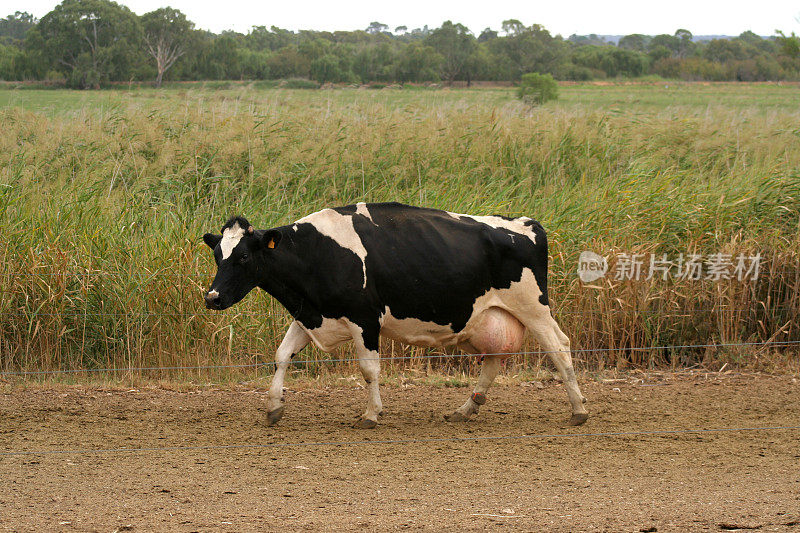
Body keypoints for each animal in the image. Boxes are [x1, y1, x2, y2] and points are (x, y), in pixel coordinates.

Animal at [200, 203, 588, 428]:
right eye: (218, 255)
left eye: (243, 257)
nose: (212, 297)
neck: (317, 253)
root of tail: (525, 223)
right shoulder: (309, 315)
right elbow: (281, 357)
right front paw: (273, 407)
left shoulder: (364, 319)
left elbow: (369, 369)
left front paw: (371, 414)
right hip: (489, 317)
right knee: (493, 360)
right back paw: (465, 410)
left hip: (533, 307)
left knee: (559, 348)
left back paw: (579, 410)